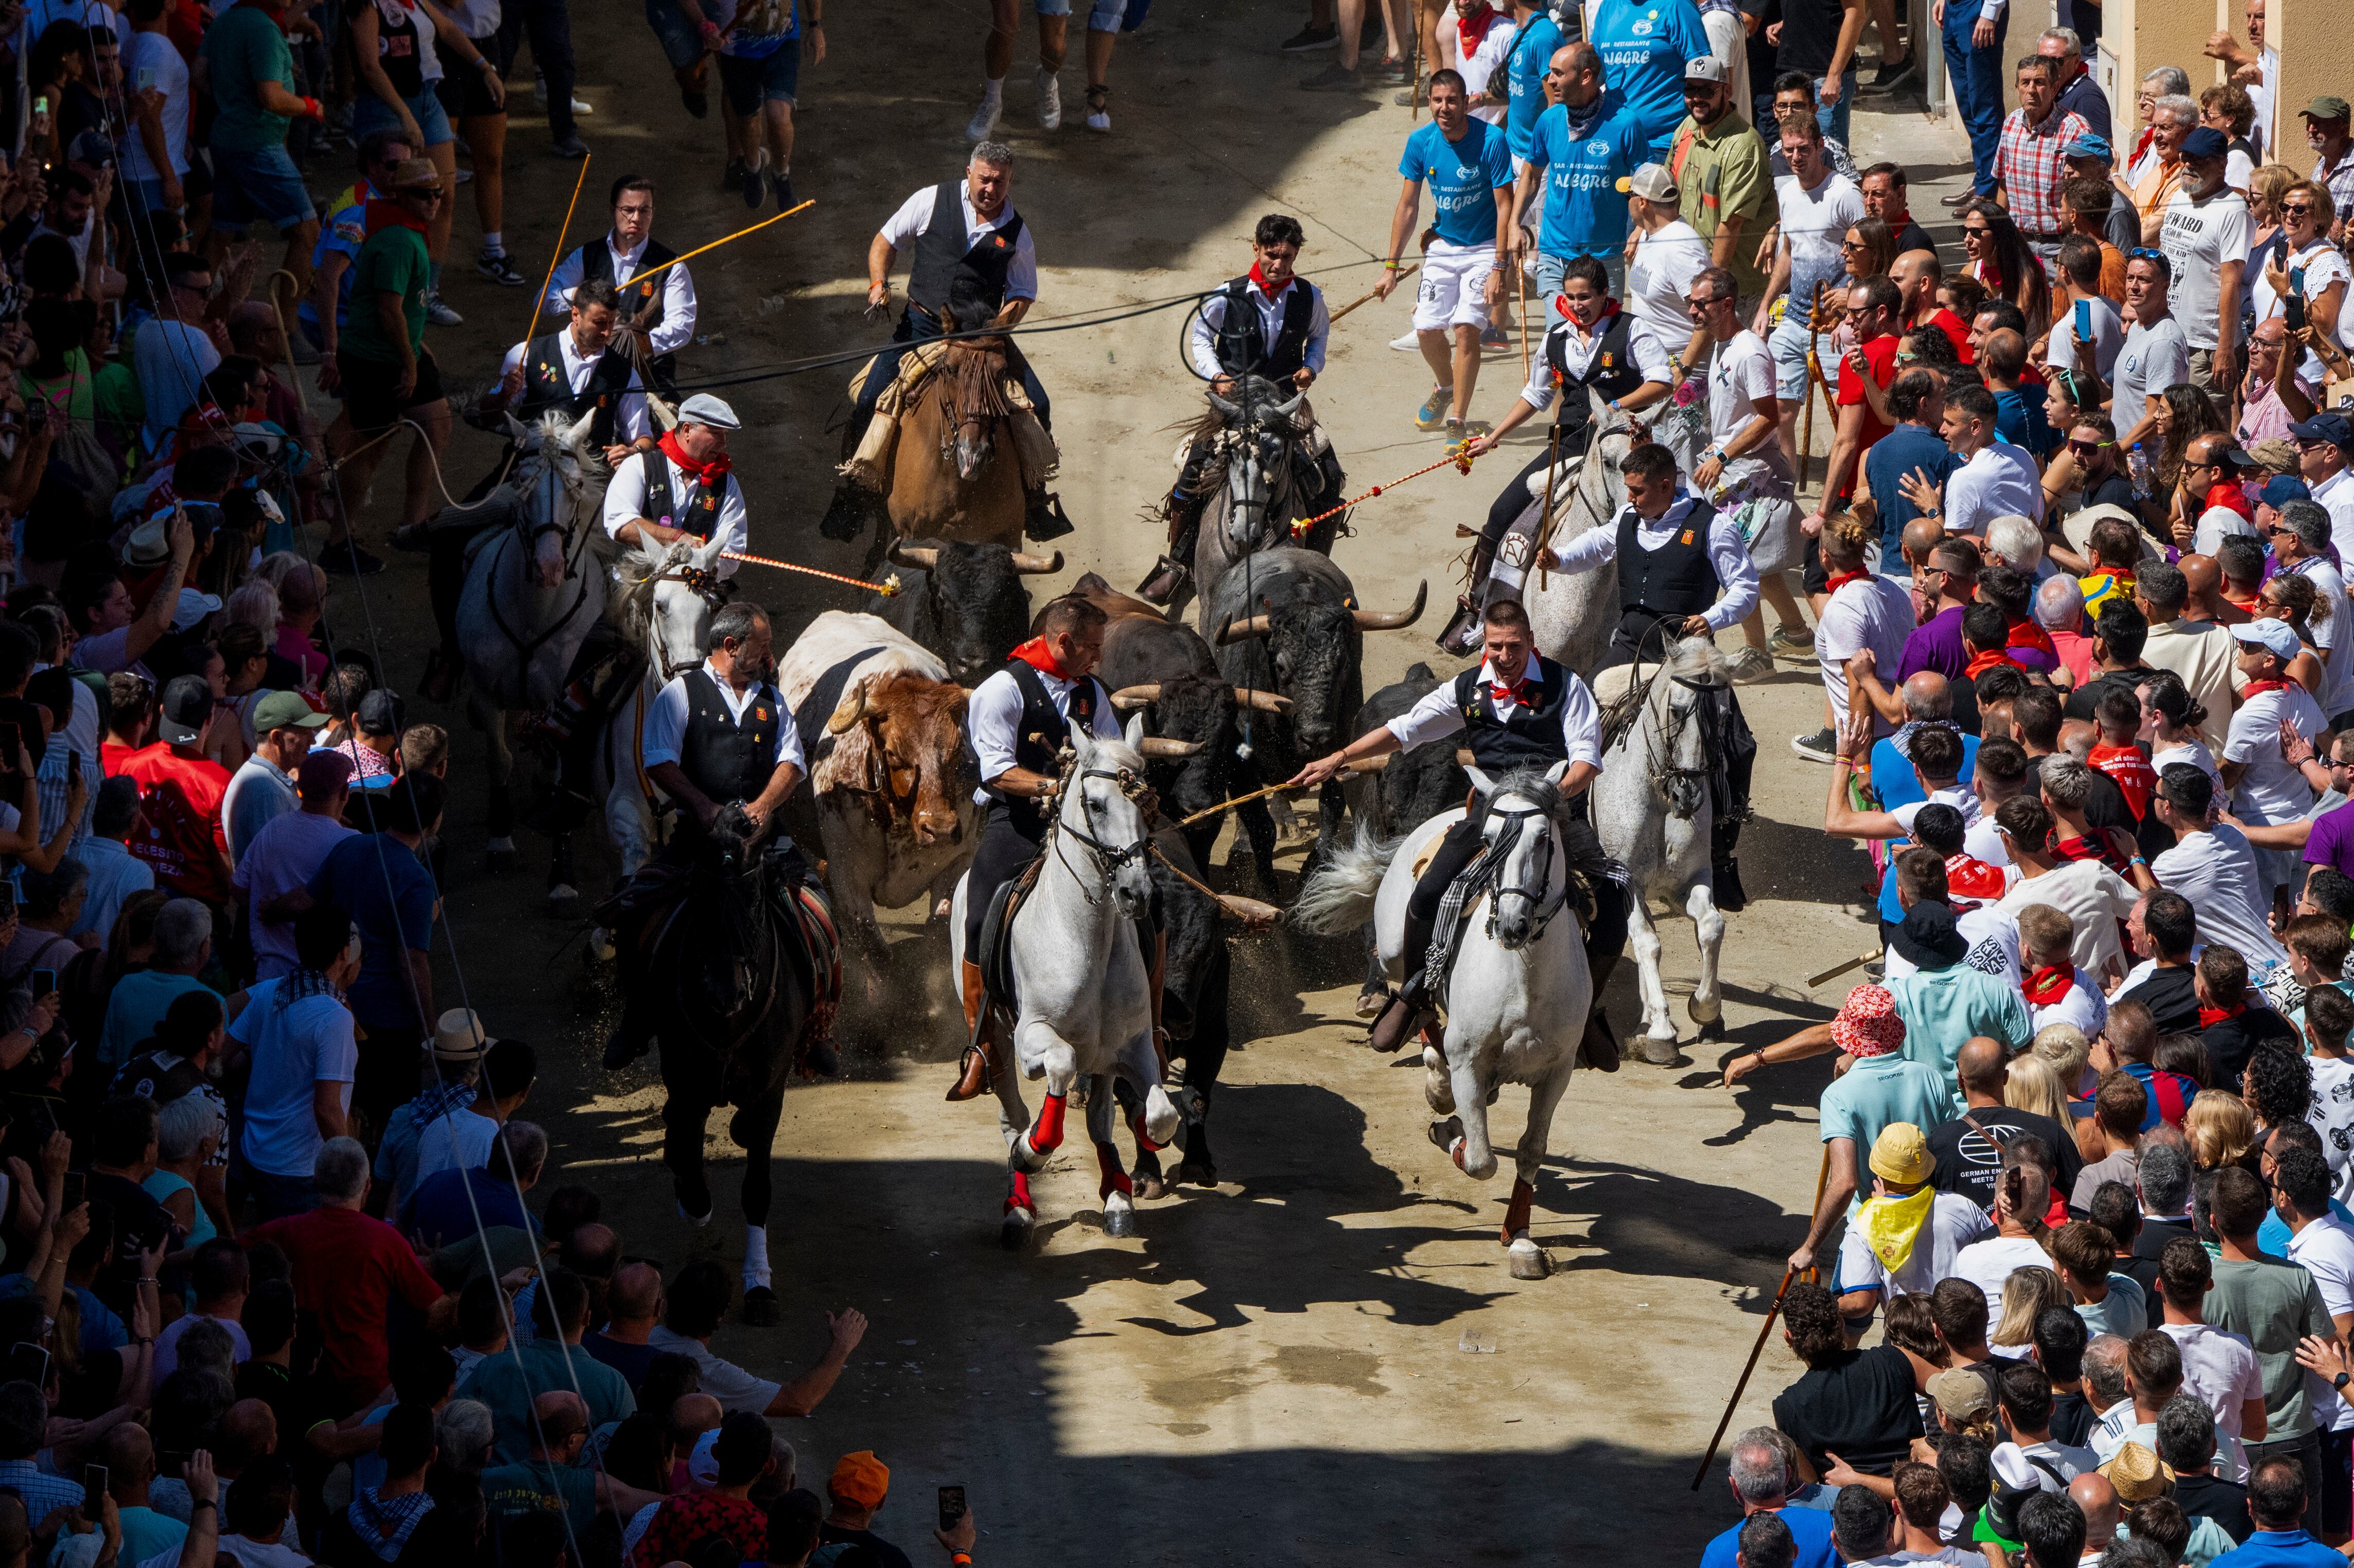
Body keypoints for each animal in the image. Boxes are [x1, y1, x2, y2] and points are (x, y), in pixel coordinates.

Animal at [452, 405, 607, 890]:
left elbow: (554, 772)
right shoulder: (487, 693)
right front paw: (500, 840)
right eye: (521, 481)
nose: (549, 567)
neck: (533, 614)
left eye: (575, 486)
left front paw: (562, 875)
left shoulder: (561, 702)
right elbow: (498, 760)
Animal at [602, 805, 824, 1318]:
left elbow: (756, 1185)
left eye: (754, 898)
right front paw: (694, 1202)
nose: (727, 992)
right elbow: (686, 1145)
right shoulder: (685, 1081)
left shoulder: (770, 1090)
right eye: (700, 896)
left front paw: (759, 1285)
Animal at [951, 720, 1186, 1243]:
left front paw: (1133, 1172)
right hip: (997, 1041)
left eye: (1145, 801)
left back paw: (1116, 1196)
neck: (1085, 939)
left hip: (1103, 1056)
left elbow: (1160, 1117)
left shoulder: (1132, 1044)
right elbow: (1059, 1068)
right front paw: (1032, 1150)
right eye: (1095, 804)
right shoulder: (1032, 1038)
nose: (1136, 893)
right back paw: (1019, 1205)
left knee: (1100, 1121)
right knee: (1012, 1116)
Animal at [1299, 762, 1591, 1281]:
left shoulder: (1556, 1074)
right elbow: (1479, 1160)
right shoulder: (1469, 1063)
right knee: (1418, 998)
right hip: (1395, 952)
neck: (1524, 978)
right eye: (1489, 838)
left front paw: (1520, 1242)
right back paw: (1436, 1083)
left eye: (1542, 838)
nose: (1512, 925)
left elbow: (1530, 1151)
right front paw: (1447, 1129)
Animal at [1582, 635, 1732, 1064]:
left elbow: (1711, 927)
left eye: (1724, 715)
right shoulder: (1625, 885)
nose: (1688, 795)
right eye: (1677, 710)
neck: (1658, 799)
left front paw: (1704, 1009)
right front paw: (1662, 1032)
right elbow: (1649, 943)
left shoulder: (1686, 884)